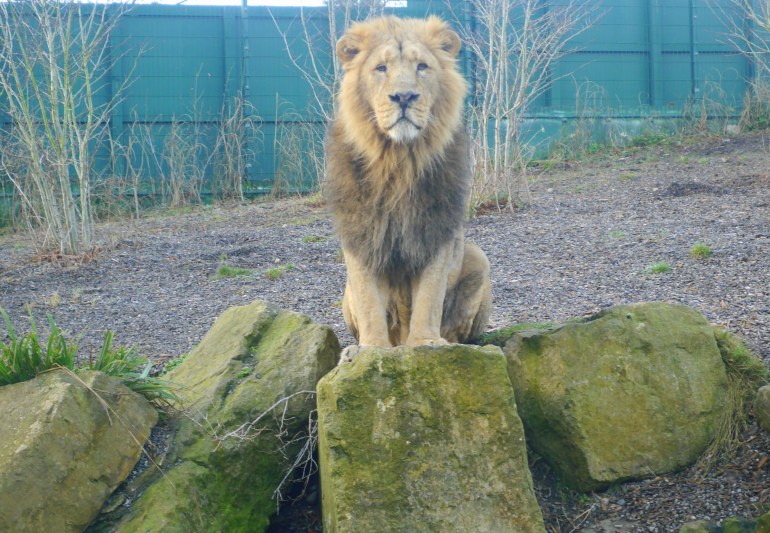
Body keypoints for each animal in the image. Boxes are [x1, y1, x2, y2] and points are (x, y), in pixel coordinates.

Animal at [325, 16, 492, 361]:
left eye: (422, 66)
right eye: (381, 68)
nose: (404, 97)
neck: (398, 162)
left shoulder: (436, 229)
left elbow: (429, 295)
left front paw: (427, 342)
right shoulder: (361, 234)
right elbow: (369, 299)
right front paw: (370, 349)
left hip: (479, 257)